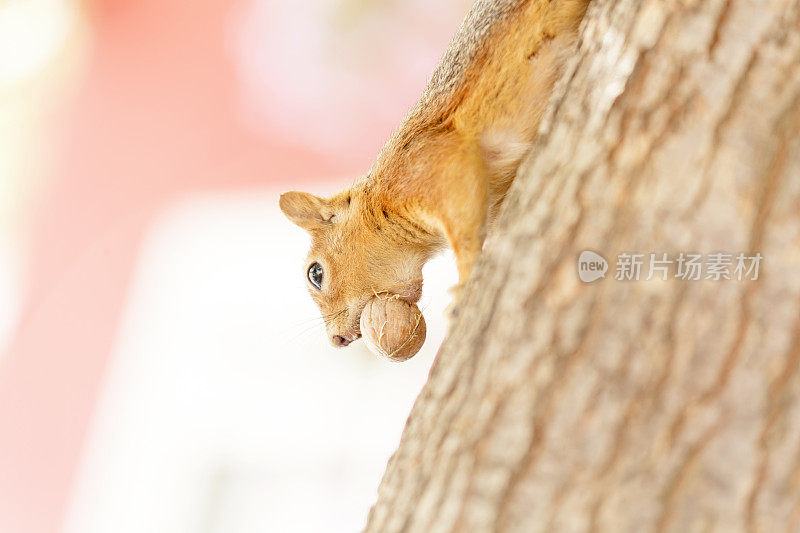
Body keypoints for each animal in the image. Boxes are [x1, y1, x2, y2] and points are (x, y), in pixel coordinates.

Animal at [280, 0, 588, 348]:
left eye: (315, 273)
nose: (335, 340)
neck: (381, 203)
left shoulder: (433, 168)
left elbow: (466, 233)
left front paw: (463, 284)